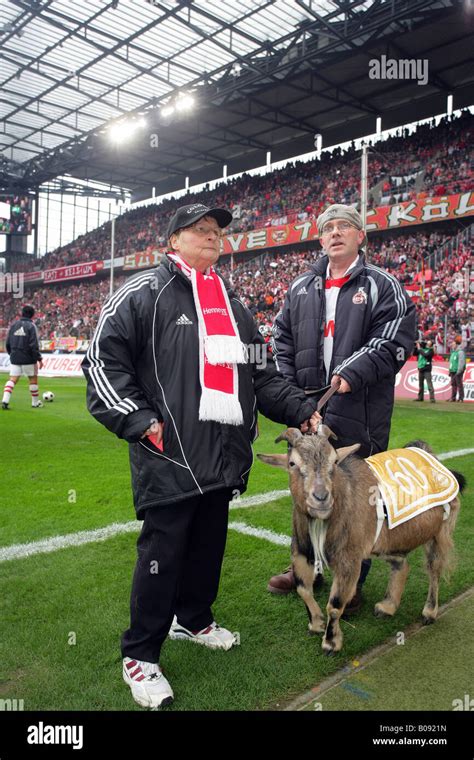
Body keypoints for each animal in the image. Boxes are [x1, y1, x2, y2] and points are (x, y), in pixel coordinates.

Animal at [258, 428, 464, 652]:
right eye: (292, 463)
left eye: (335, 461)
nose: (321, 497)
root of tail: (430, 455)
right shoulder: (302, 552)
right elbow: (303, 589)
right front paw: (316, 623)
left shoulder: (349, 559)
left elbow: (335, 604)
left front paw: (331, 642)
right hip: (387, 539)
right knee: (401, 564)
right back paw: (387, 607)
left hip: (439, 531)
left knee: (434, 569)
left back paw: (429, 612)